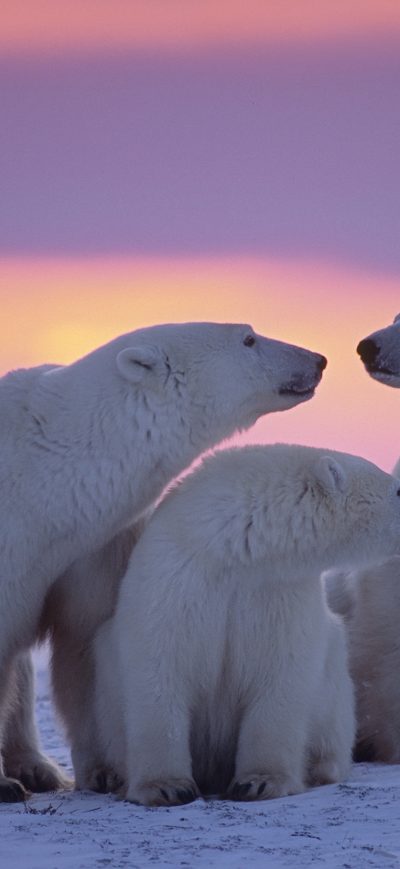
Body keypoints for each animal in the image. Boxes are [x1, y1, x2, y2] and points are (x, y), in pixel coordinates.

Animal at [0, 321, 326, 801]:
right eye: (248, 338)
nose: (318, 360)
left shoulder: (92, 549)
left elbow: (88, 642)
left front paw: (106, 772)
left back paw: (36, 768)